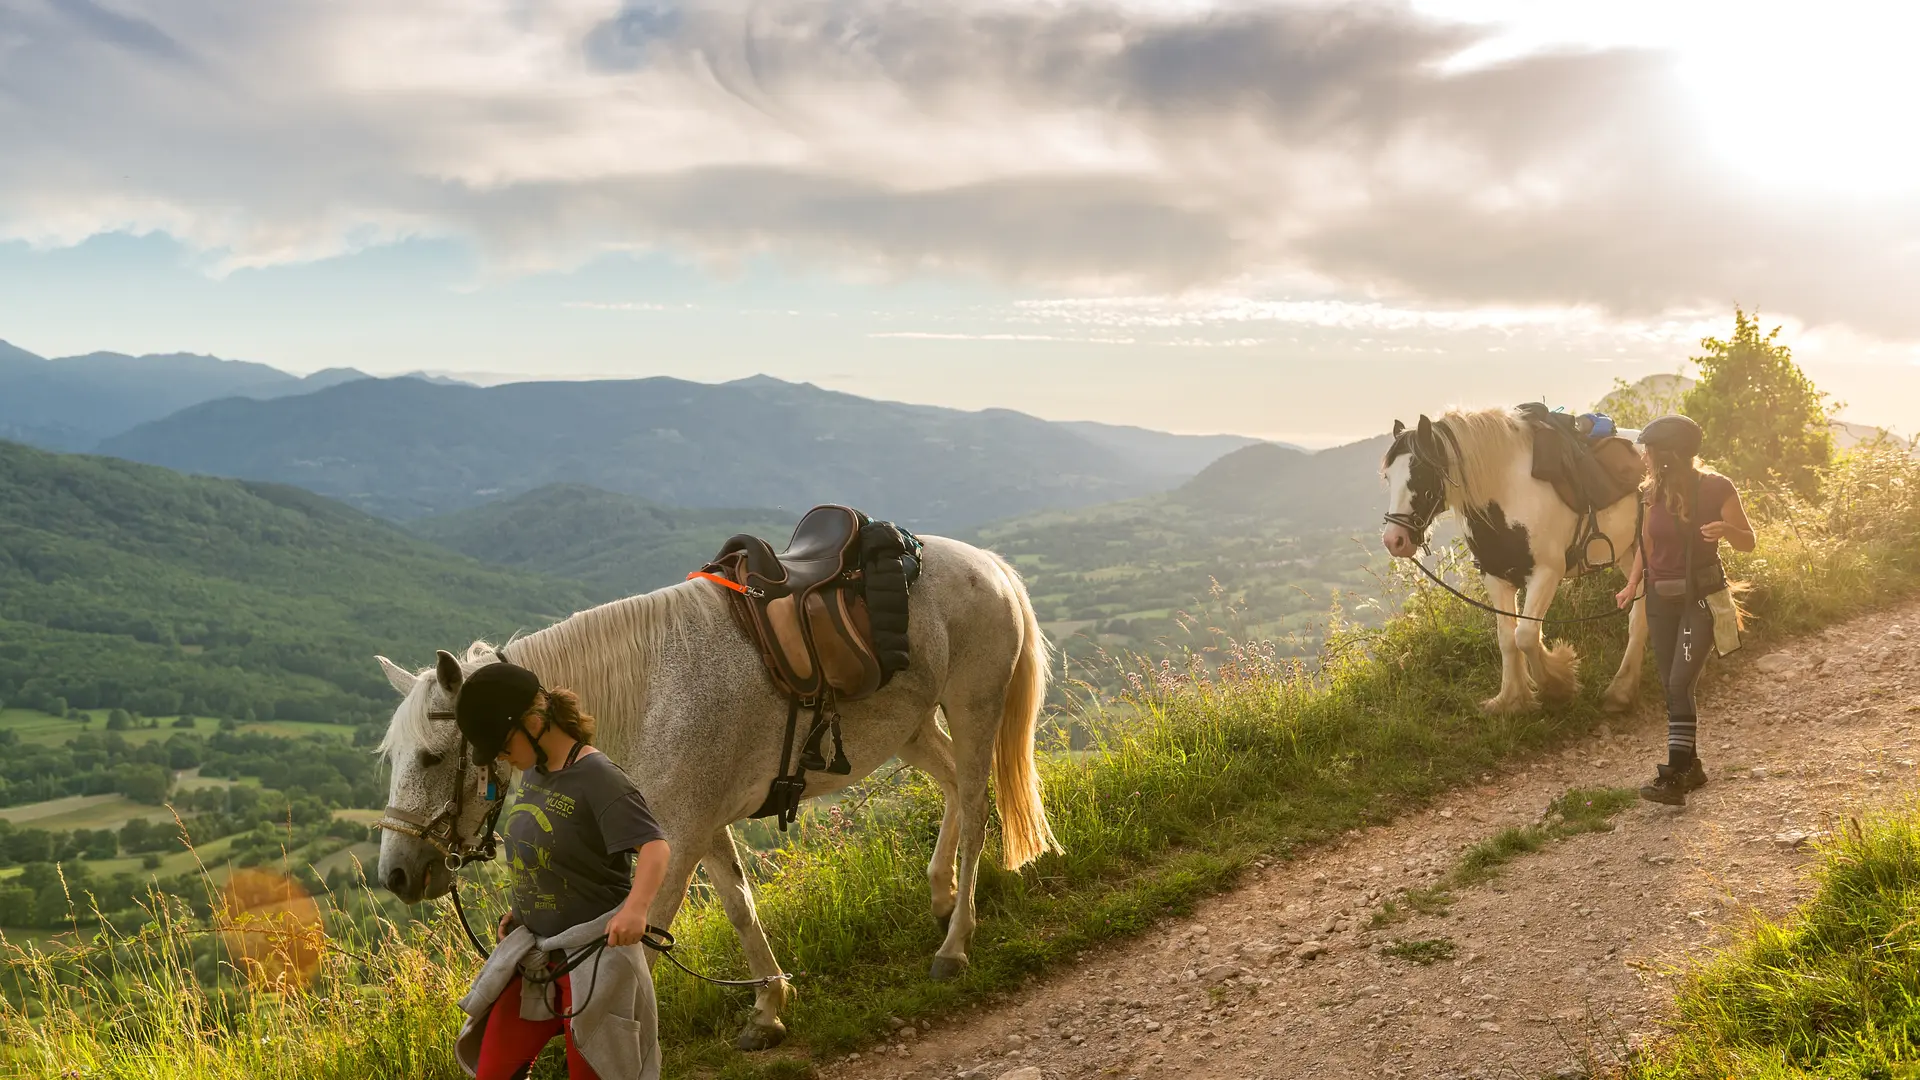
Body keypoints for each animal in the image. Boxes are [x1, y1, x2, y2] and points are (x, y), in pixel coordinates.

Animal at [371, 535, 1060, 1051]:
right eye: (394, 758)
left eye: (433, 757)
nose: (397, 874)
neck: (646, 695)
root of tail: (988, 563)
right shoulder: (698, 825)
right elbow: (739, 905)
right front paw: (769, 1009)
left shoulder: (677, 835)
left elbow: (643, 944)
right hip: (913, 729)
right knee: (953, 790)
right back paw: (941, 894)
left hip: (973, 707)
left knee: (976, 807)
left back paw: (955, 944)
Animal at [1378, 407, 1650, 714]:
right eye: (1388, 476)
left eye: (1421, 473)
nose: (1394, 540)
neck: (1509, 492)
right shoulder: (1496, 578)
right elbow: (1507, 639)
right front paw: (1511, 699)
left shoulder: (1545, 573)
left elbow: (1527, 636)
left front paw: (1558, 685)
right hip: (1629, 556)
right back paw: (1623, 690)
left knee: (1639, 618)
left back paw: (1620, 691)